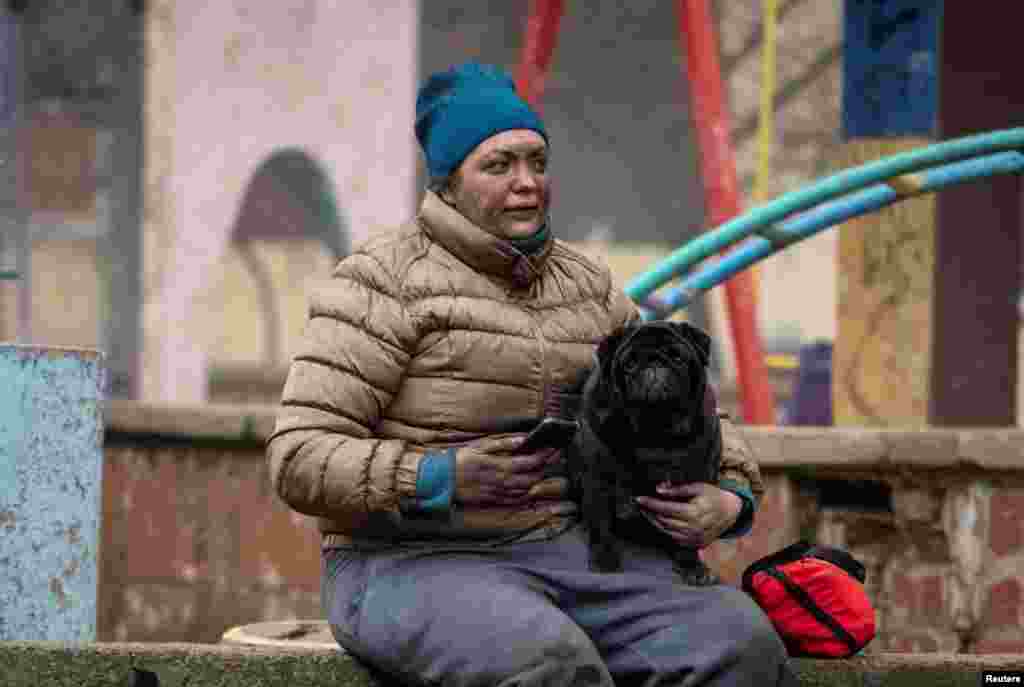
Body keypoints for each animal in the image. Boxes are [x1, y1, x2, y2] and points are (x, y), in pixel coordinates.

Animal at [569, 321, 720, 585]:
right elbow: (601, 524)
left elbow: (687, 535)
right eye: (629, 363)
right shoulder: (597, 481)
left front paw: (691, 566)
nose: (654, 363)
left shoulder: (691, 489)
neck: (654, 432)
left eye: (677, 357)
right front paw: (604, 559)